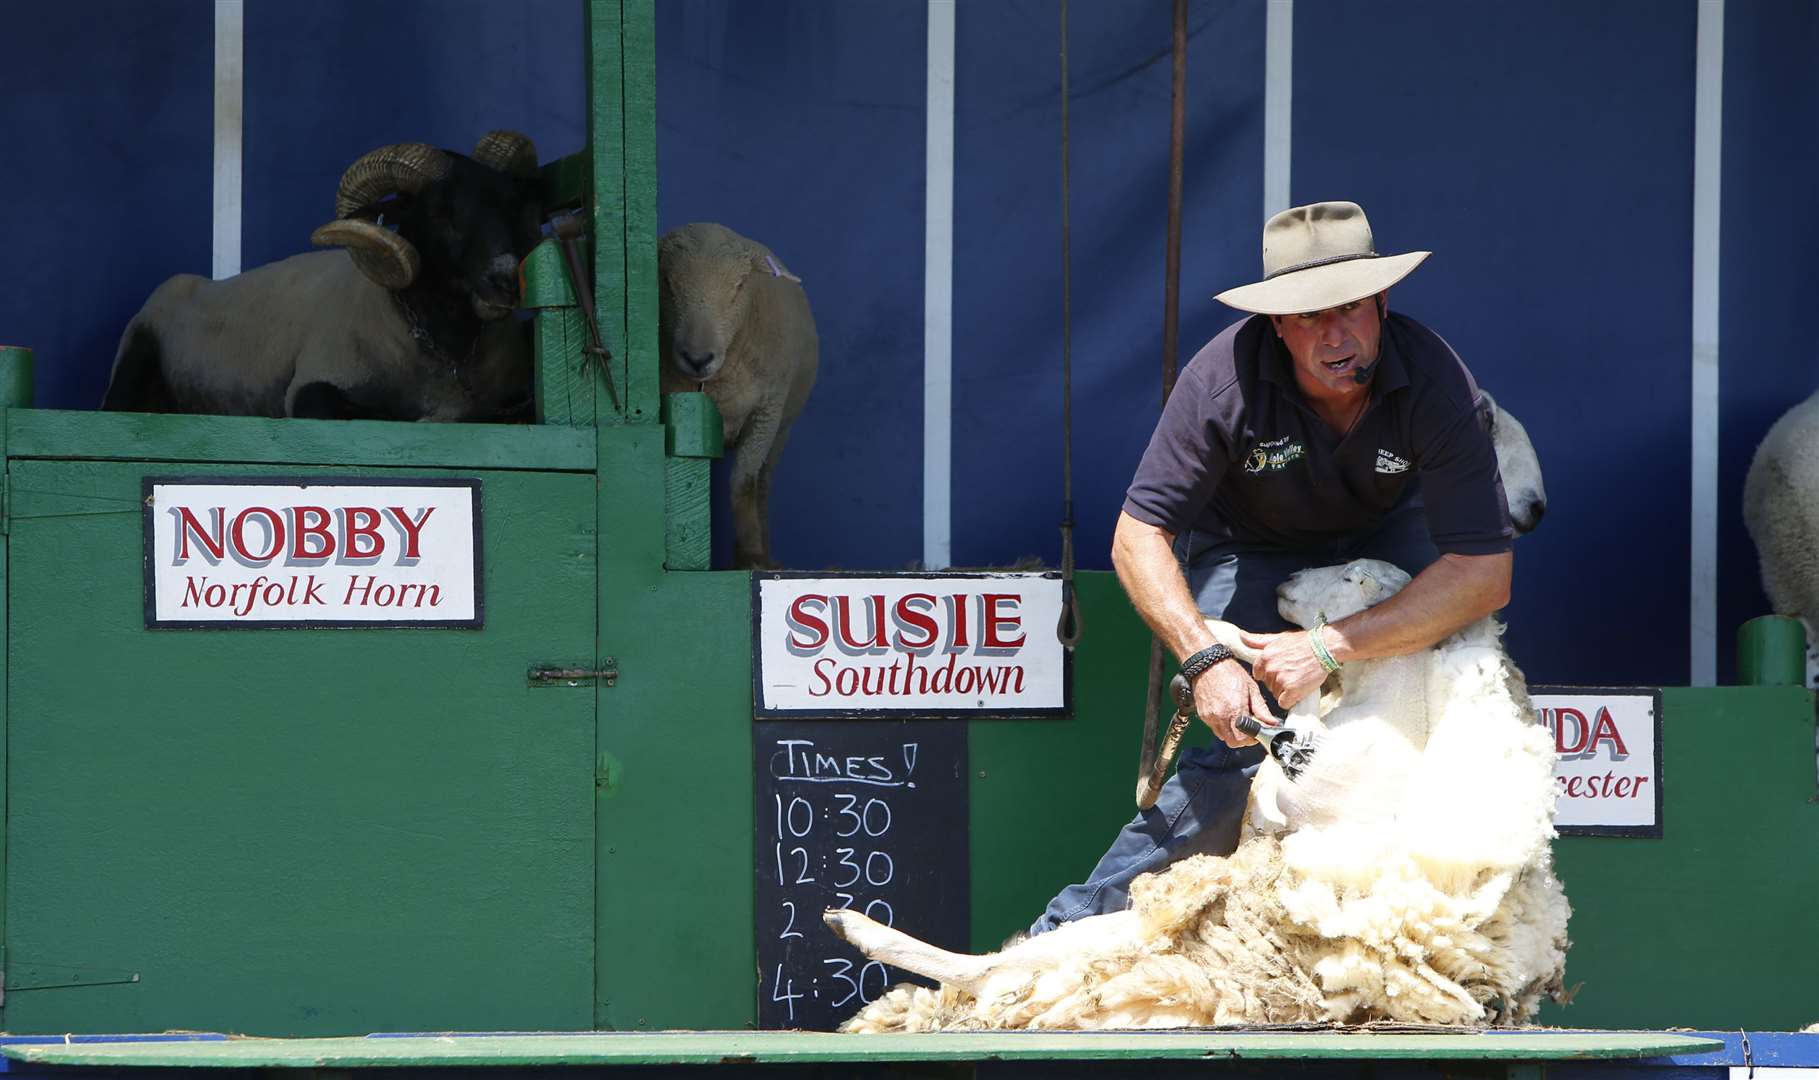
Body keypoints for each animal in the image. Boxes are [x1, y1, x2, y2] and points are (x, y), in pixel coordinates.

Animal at [662, 222, 818, 567]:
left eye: (739, 285)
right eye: (667, 285)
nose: (697, 358)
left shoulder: (766, 413)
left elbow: (744, 483)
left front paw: (750, 556)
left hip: (783, 429)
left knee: (763, 483)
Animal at [833, 560, 1571, 1032]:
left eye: (1354, 575)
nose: (1283, 583)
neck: (1376, 703)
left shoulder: (1305, 791)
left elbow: (1286, 735)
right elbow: (1268, 698)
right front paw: (1219, 633)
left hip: (1117, 935)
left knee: (984, 970)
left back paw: (857, 928)